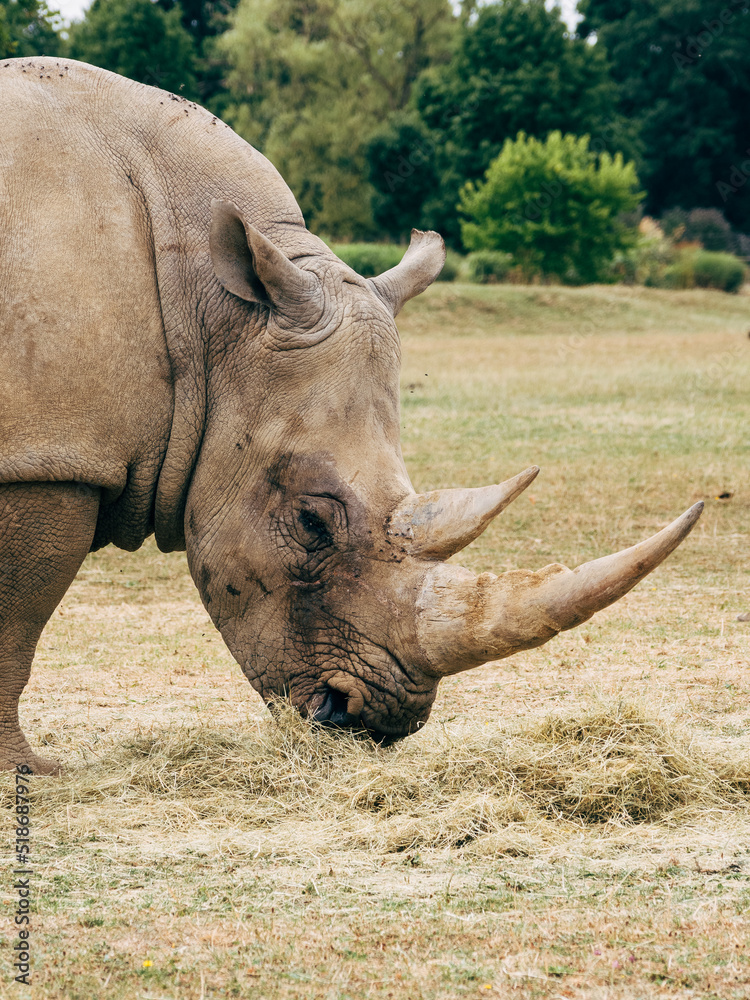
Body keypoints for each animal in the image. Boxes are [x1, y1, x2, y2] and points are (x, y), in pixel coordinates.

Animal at [0, 58, 702, 774]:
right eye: (311, 523)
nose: (371, 721)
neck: (211, 314)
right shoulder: (50, 457)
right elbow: (16, 616)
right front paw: (28, 771)